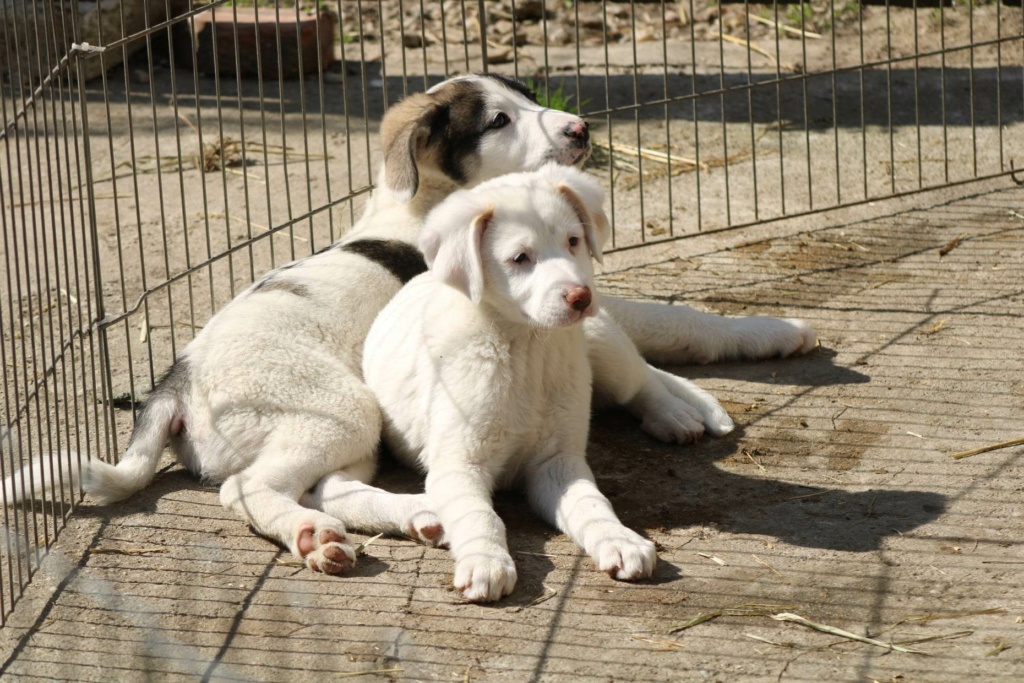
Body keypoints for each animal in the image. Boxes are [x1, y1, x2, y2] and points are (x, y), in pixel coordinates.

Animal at [366, 166, 655, 602]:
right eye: (520, 258)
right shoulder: (457, 464)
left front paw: (620, 539)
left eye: (573, 241)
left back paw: (686, 414)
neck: (527, 350)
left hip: (604, 348)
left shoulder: (558, 461)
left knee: (646, 378)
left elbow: (593, 505)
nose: (581, 297)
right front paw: (485, 561)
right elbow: (480, 516)